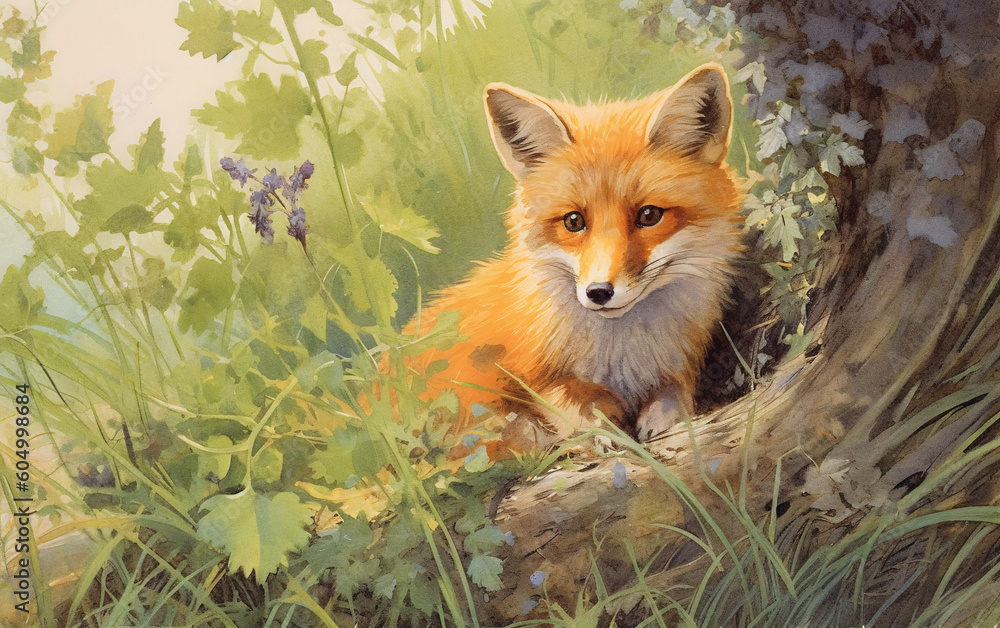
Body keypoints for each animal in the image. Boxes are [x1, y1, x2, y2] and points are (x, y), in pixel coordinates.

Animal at [408, 63, 745, 456]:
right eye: (573, 221)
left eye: (649, 215)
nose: (599, 292)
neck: (623, 352)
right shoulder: (528, 382)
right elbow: (572, 403)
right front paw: (605, 427)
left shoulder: (677, 367)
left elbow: (675, 395)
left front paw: (660, 418)